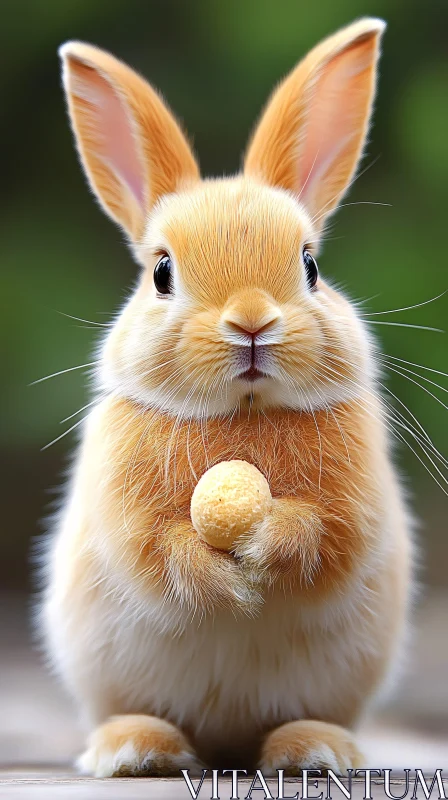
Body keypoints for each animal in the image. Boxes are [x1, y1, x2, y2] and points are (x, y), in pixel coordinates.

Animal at [42, 18, 412, 780]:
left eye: (311, 265)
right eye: (161, 272)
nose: (250, 322)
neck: (243, 411)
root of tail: (225, 745)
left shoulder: (353, 504)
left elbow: (322, 534)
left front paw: (263, 547)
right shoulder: (128, 512)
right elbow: (160, 551)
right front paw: (226, 583)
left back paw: (315, 750)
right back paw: (136, 749)